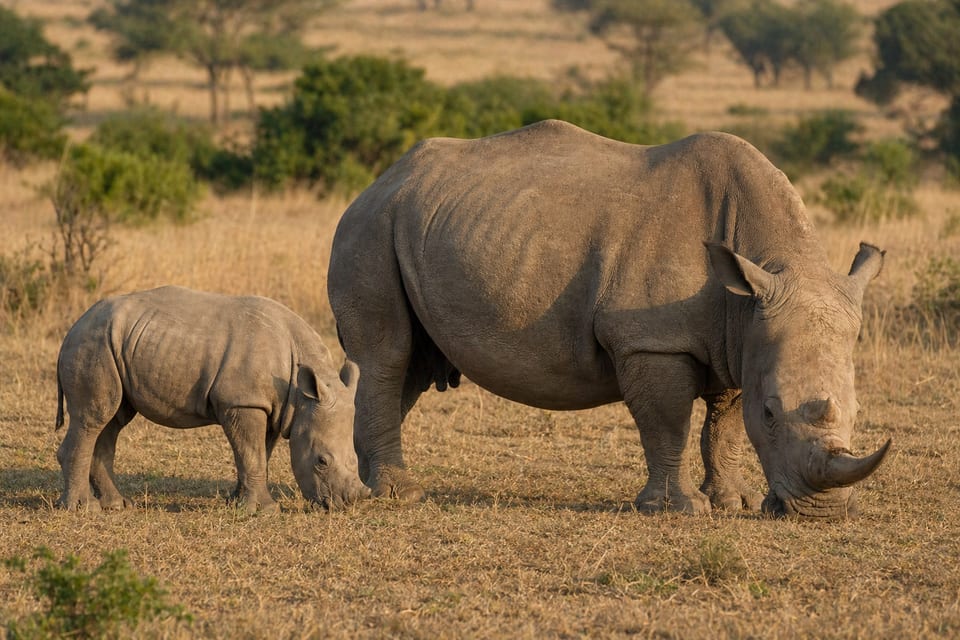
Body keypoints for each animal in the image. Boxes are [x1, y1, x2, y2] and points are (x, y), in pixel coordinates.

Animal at [55, 286, 370, 513]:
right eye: (321, 461)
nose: (346, 504)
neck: (300, 396)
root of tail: (72, 328)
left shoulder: (270, 406)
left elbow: (258, 454)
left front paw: (237, 503)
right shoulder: (242, 401)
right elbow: (251, 452)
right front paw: (264, 511)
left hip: (112, 344)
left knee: (112, 419)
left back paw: (118, 505)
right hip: (92, 344)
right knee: (93, 418)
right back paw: (84, 509)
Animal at [327, 119, 892, 519]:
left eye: (859, 410)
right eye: (774, 414)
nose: (822, 513)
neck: (771, 267)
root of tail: (380, 181)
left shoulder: (743, 335)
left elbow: (726, 426)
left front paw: (735, 503)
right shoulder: (651, 339)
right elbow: (668, 423)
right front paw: (678, 510)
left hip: (423, 223)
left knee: (412, 366)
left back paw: (365, 480)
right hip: (370, 226)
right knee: (387, 355)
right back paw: (400, 494)